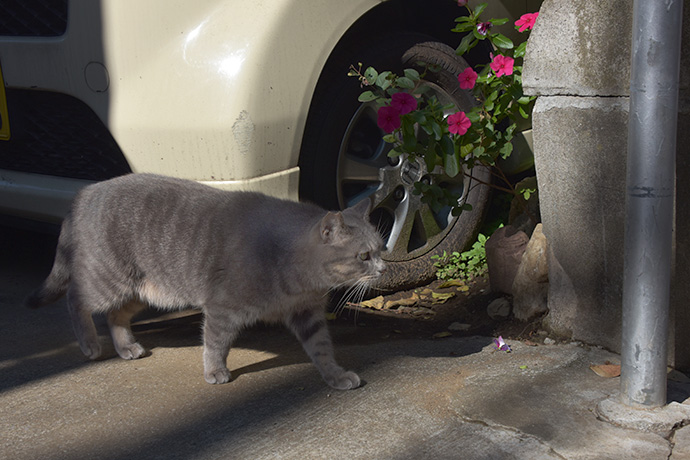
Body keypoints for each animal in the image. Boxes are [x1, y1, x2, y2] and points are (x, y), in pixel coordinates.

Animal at [26, 172, 384, 388]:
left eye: (382, 248)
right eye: (363, 256)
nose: (383, 268)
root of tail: (86, 192)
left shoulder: (307, 314)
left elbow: (322, 349)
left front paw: (335, 375)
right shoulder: (223, 308)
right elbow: (216, 343)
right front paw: (215, 371)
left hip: (142, 292)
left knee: (115, 316)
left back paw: (126, 346)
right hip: (109, 280)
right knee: (76, 299)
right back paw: (89, 344)